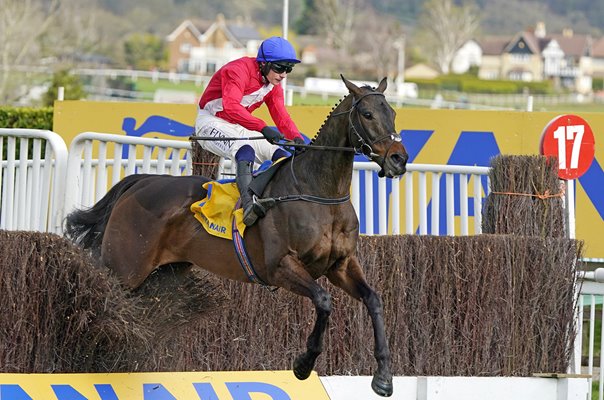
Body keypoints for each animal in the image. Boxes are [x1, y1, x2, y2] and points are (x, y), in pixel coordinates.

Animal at [63, 76, 408, 396]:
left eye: (391, 112)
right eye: (366, 113)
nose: (398, 159)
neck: (320, 194)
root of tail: (140, 182)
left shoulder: (341, 266)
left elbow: (374, 300)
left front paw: (383, 377)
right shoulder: (281, 267)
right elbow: (323, 301)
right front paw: (303, 363)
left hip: (163, 274)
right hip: (124, 268)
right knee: (101, 300)